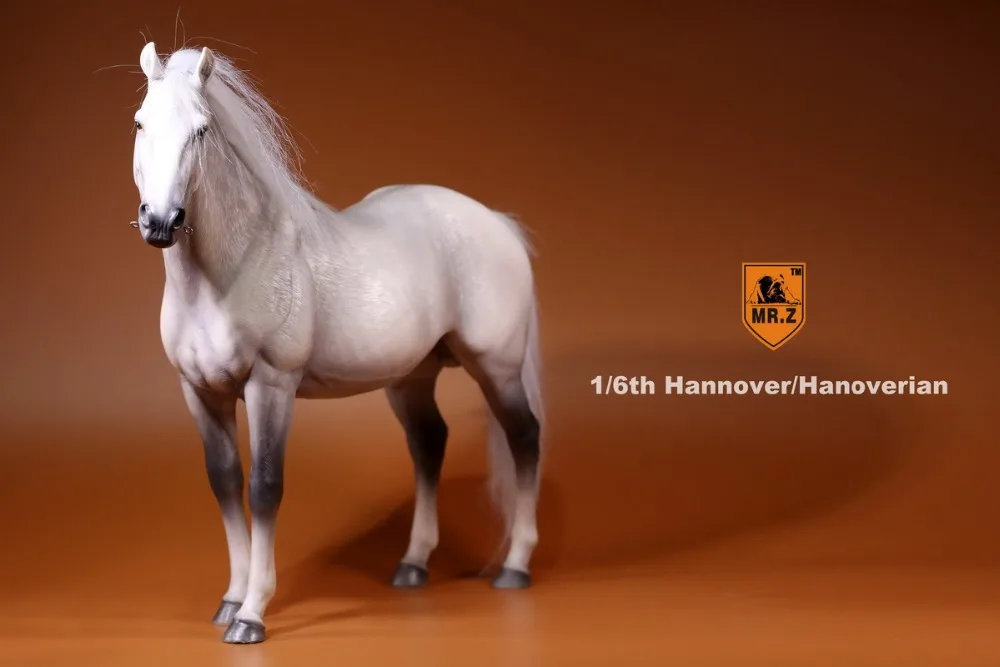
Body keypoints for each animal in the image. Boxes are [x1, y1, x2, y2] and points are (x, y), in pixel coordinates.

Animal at [127, 42, 544, 644]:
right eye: (140, 122)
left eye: (201, 130)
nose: (160, 221)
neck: (233, 270)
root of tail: (495, 222)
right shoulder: (200, 392)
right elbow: (225, 484)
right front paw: (230, 599)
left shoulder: (271, 386)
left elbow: (264, 487)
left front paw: (252, 613)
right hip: (412, 378)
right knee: (429, 444)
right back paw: (413, 564)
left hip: (498, 367)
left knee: (525, 438)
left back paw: (515, 566)